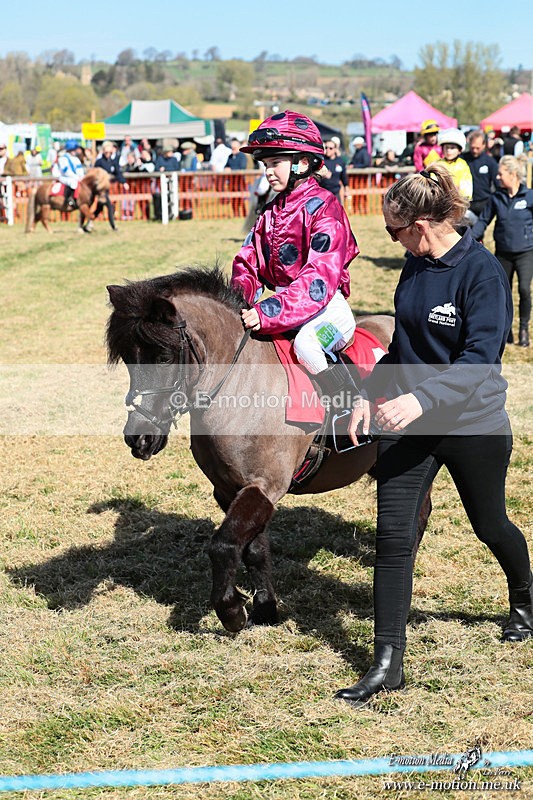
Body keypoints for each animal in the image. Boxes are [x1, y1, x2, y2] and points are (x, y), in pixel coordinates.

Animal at [106, 266, 432, 633]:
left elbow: (223, 545)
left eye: (163, 357)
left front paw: (232, 610)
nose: (138, 438)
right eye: (128, 360)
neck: (241, 388)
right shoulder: (230, 489)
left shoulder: (266, 485)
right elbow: (253, 550)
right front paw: (265, 609)